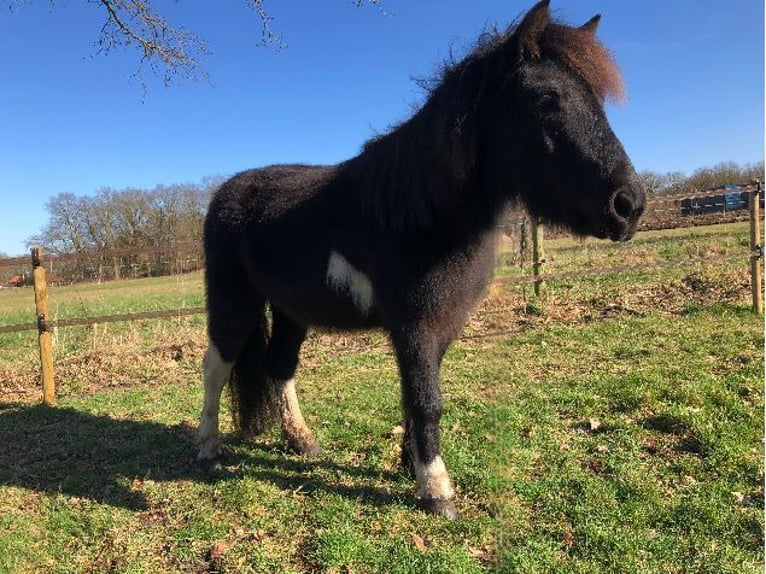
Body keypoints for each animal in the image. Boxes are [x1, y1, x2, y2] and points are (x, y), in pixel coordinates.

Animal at [198, 0, 648, 520]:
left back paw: (302, 441)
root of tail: (227, 194)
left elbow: (413, 395)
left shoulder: (442, 323)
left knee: (279, 366)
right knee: (217, 366)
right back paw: (207, 449)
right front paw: (436, 491)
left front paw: (408, 464)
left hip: (292, 309)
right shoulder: (414, 324)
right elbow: (427, 399)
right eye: (546, 98)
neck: (421, 211)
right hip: (233, 300)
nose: (628, 206)